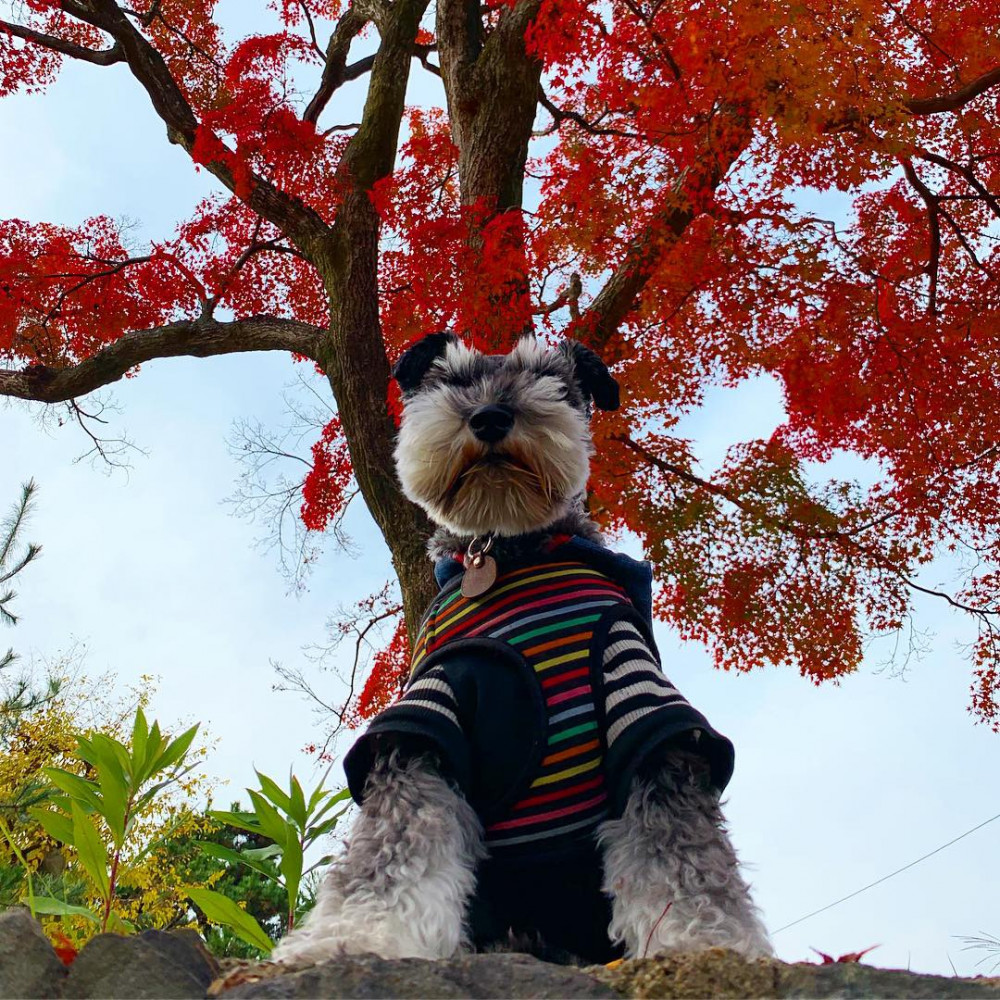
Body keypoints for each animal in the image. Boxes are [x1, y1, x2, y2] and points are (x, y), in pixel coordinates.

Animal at [274, 336, 772, 968]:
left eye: (549, 379)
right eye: (452, 381)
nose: (489, 416)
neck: (507, 548)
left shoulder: (643, 707)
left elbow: (683, 861)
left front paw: (706, 946)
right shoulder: (427, 719)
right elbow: (392, 848)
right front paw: (360, 938)